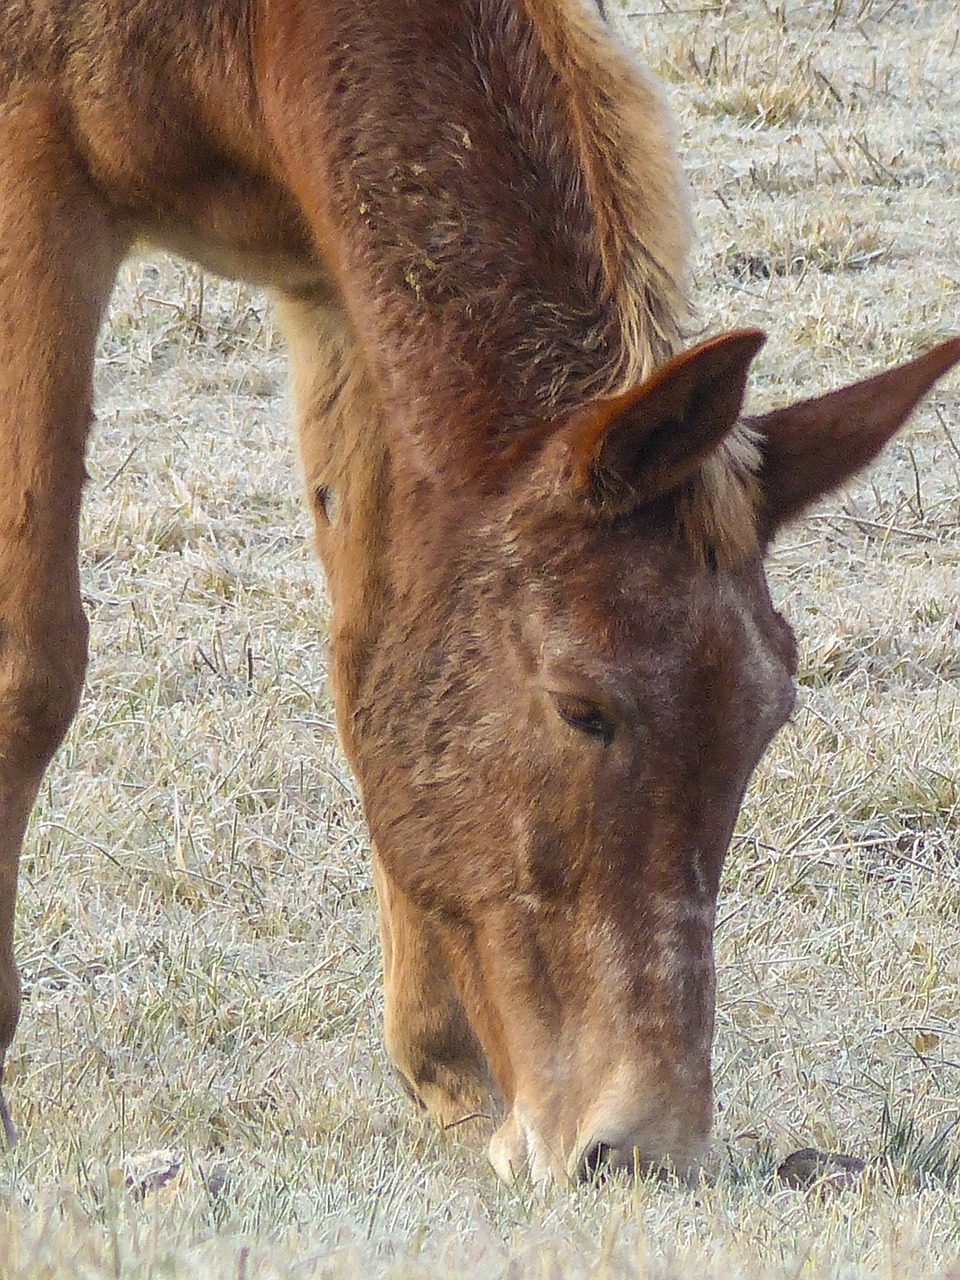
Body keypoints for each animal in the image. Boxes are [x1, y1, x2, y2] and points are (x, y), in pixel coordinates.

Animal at [1, 0, 960, 1182]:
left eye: (768, 719)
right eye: (582, 707)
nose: (642, 1150)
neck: (254, 41)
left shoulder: (332, 285)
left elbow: (369, 660)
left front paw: (451, 1074)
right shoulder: (37, 175)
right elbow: (33, 662)